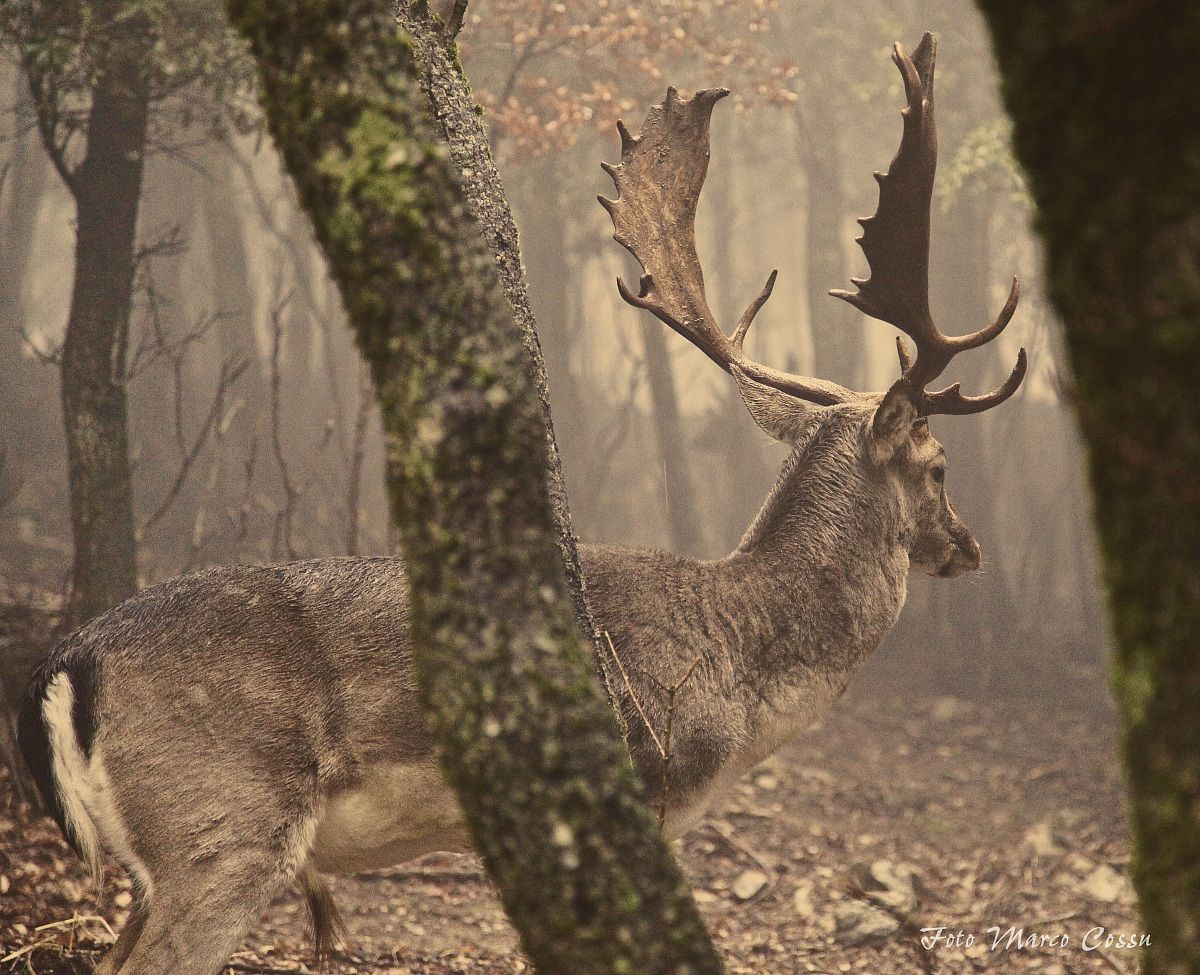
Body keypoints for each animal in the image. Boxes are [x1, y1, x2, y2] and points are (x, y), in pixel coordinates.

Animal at [19, 32, 1026, 975]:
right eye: (938, 466)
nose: (971, 545)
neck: (735, 663)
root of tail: (67, 660)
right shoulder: (644, 785)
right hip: (222, 825)